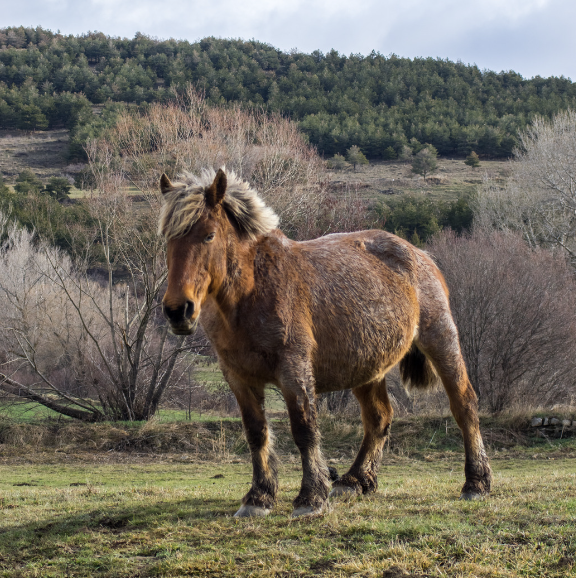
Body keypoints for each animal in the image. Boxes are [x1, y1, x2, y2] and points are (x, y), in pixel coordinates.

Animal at [158, 169, 490, 516]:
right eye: (168, 239)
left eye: (208, 236)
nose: (177, 310)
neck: (251, 292)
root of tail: (420, 254)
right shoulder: (238, 377)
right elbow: (256, 433)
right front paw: (259, 497)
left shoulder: (294, 370)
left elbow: (304, 429)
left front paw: (311, 497)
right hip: (367, 367)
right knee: (379, 418)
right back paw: (355, 481)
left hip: (441, 341)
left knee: (464, 404)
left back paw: (476, 483)